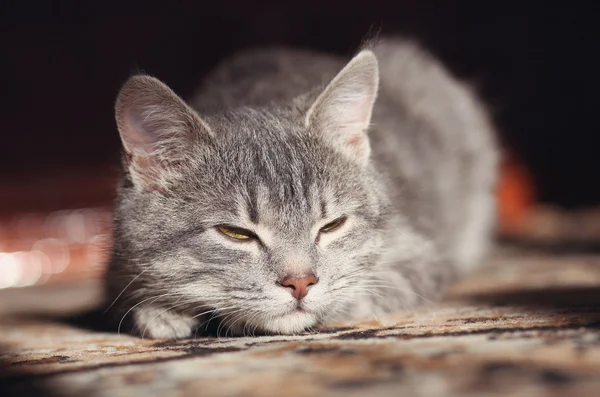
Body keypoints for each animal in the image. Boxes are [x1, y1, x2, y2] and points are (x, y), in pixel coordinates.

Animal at [105, 37, 500, 338]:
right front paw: (160, 311)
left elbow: (360, 293)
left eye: (332, 225)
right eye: (235, 233)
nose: (300, 282)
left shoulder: (418, 258)